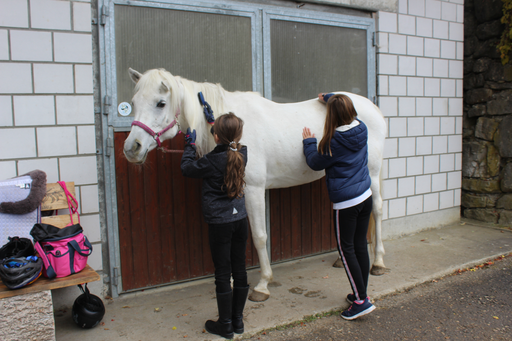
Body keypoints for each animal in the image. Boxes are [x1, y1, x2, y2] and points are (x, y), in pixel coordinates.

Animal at [124, 68, 386, 300]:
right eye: (133, 102)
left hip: (372, 172)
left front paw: (262, 285)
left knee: (377, 209)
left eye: (160, 103)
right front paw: (231, 280)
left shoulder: (254, 190)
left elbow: (259, 236)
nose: (131, 148)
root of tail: (371, 107)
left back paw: (379, 262)